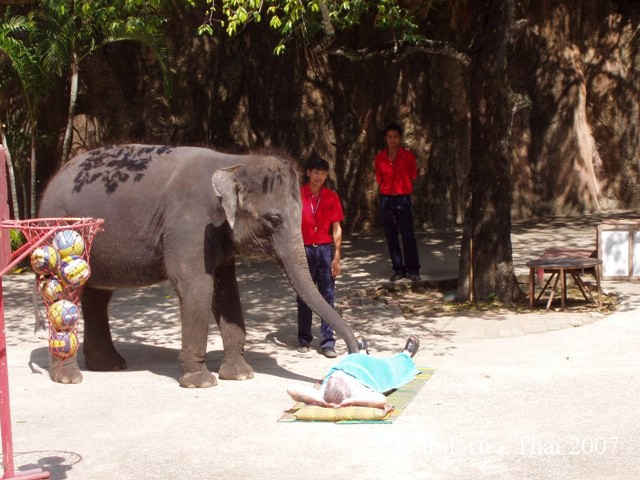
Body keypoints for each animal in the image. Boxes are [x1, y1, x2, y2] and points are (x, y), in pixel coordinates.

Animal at [38, 144, 358, 387]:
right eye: (274, 220)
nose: (359, 350)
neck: (233, 163)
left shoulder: (218, 235)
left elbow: (226, 290)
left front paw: (240, 375)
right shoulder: (188, 225)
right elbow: (196, 286)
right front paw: (201, 382)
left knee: (98, 294)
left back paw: (109, 365)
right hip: (57, 227)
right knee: (65, 290)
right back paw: (69, 377)